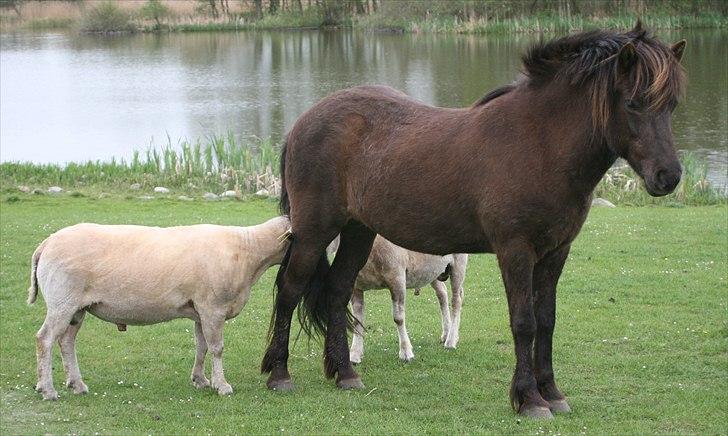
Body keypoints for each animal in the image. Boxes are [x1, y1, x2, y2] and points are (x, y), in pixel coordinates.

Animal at [262, 24, 688, 418]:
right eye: (633, 103)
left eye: (671, 105)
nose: (668, 177)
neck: (539, 143)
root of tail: (303, 122)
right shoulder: (515, 250)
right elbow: (524, 322)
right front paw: (530, 399)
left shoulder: (556, 252)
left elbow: (547, 321)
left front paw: (553, 393)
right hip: (315, 231)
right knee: (289, 289)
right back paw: (279, 374)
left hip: (357, 231)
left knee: (336, 291)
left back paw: (345, 373)